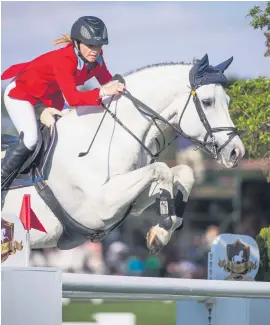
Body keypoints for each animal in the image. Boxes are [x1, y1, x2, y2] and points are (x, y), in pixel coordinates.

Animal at [1, 53, 245, 253]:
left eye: (228, 101)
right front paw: (166, 222)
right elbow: (162, 169)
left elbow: (183, 172)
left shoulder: (131, 203)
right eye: (207, 102)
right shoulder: (99, 205)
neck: (112, 135)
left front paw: (162, 232)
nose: (237, 152)